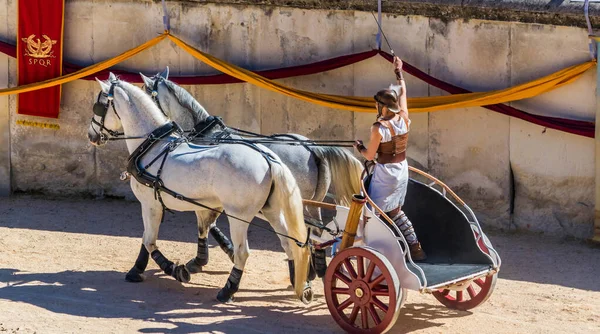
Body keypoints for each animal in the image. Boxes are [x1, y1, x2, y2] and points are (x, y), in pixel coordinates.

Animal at [89, 74, 314, 304]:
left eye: (98, 106)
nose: (91, 135)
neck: (153, 146)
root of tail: (267, 158)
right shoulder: (200, 206)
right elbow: (188, 232)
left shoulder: (150, 204)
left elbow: (149, 240)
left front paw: (171, 269)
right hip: (272, 211)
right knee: (289, 243)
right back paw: (301, 284)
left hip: (238, 215)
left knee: (243, 252)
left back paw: (228, 290)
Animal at [141, 68, 364, 276]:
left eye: (145, 90)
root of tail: (314, 149)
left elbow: (208, 225)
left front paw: (216, 255)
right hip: (312, 204)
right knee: (316, 232)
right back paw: (316, 269)